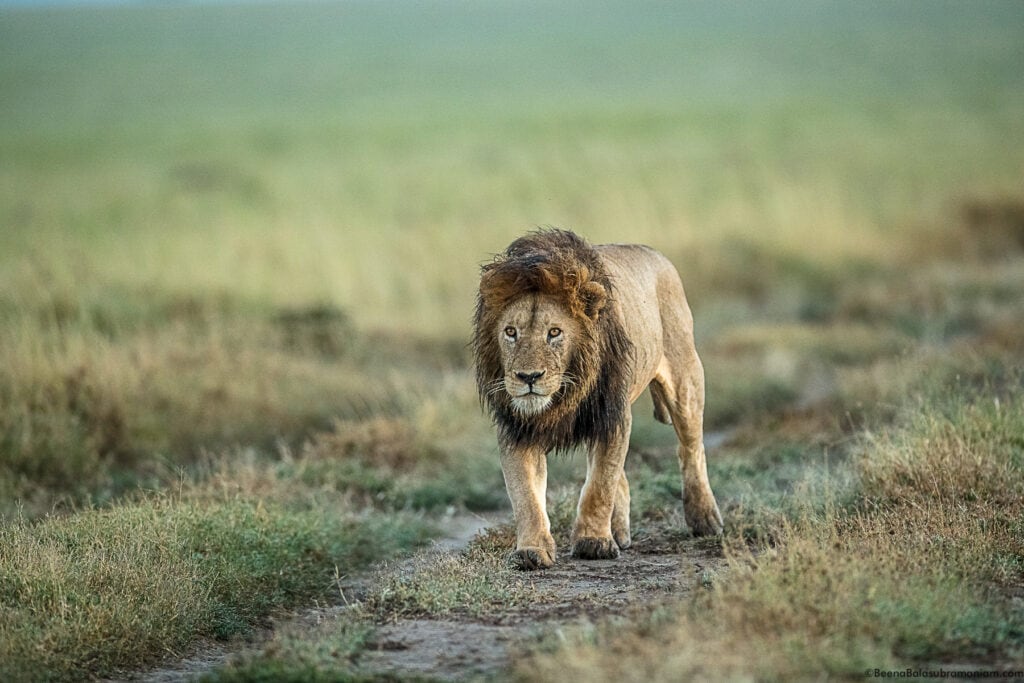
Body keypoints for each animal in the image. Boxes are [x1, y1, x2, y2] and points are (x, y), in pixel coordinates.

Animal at [471, 229, 720, 573]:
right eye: (510, 332)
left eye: (554, 332)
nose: (528, 377)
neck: (563, 394)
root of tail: (656, 254)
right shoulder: (517, 428)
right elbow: (525, 495)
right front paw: (531, 550)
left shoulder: (613, 415)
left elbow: (600, 484)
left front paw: (593, 543)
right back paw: (620, 530)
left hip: (686, 380)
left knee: (690, 449)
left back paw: (704, 518)